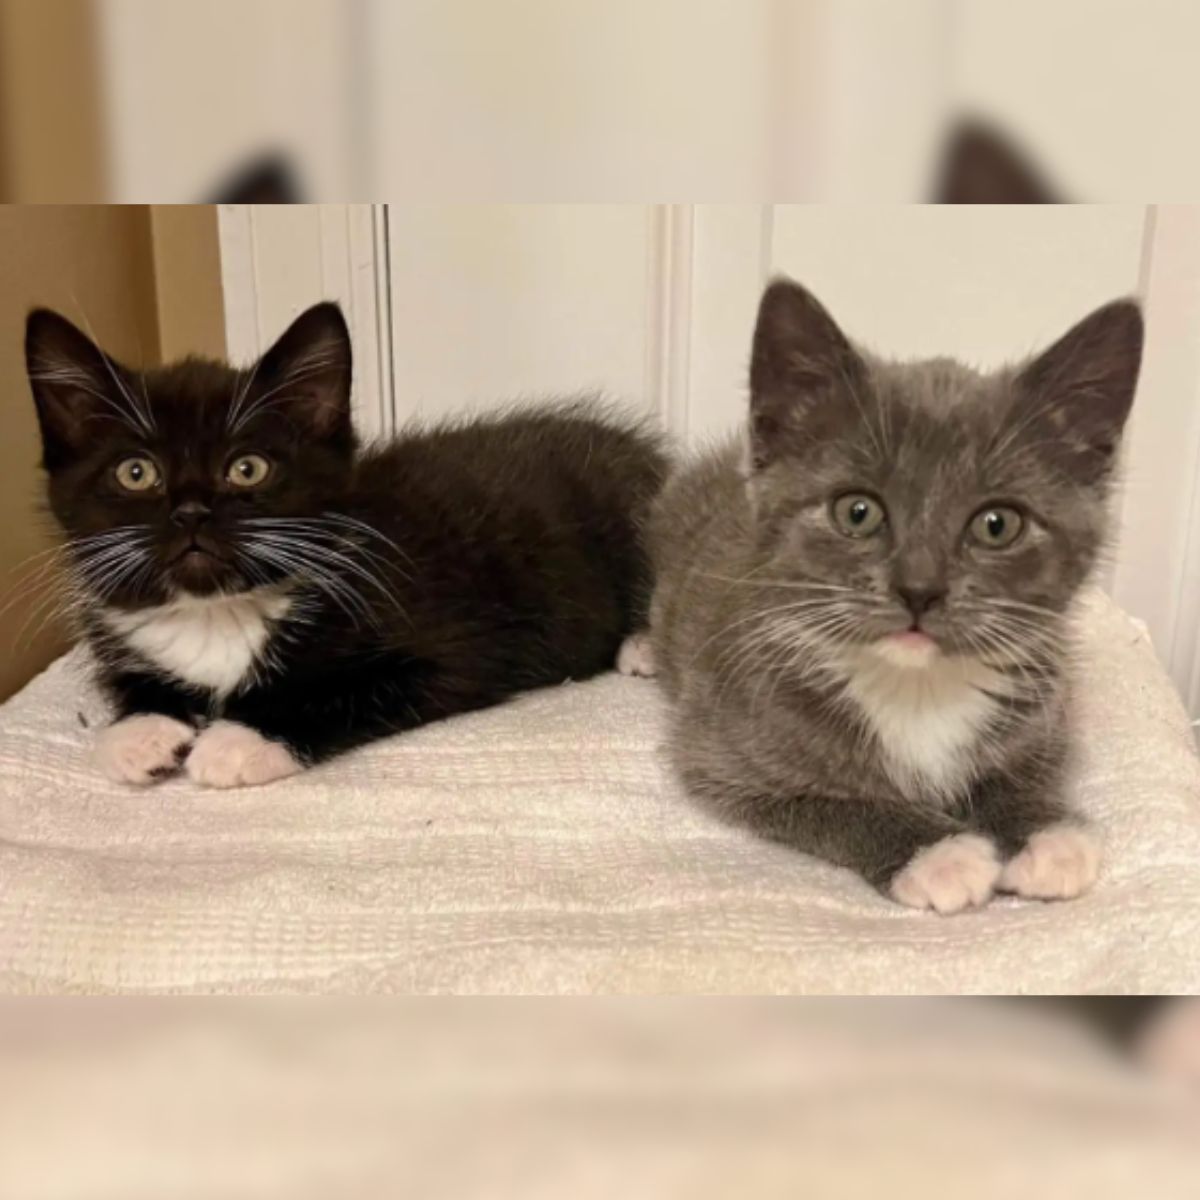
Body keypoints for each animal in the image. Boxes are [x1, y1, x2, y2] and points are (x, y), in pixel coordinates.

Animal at [25, 302, 667, 787]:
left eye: (247, 468)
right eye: (136, 473)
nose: (191, 513)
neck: (218, 612)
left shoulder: (456, 650)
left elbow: (337, 692)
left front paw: (239, 741)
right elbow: (131, 678)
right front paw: (139, 731)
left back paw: (644, 646)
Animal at [643, 278, 1147, 916]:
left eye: (997, 525)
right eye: (857, 512)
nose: (919, 589)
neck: (916, 688)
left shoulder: (1045, 718)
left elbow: (1018, 774)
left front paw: (1046, 835)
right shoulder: (722, 751)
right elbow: (832, 802)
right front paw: (940, 855)